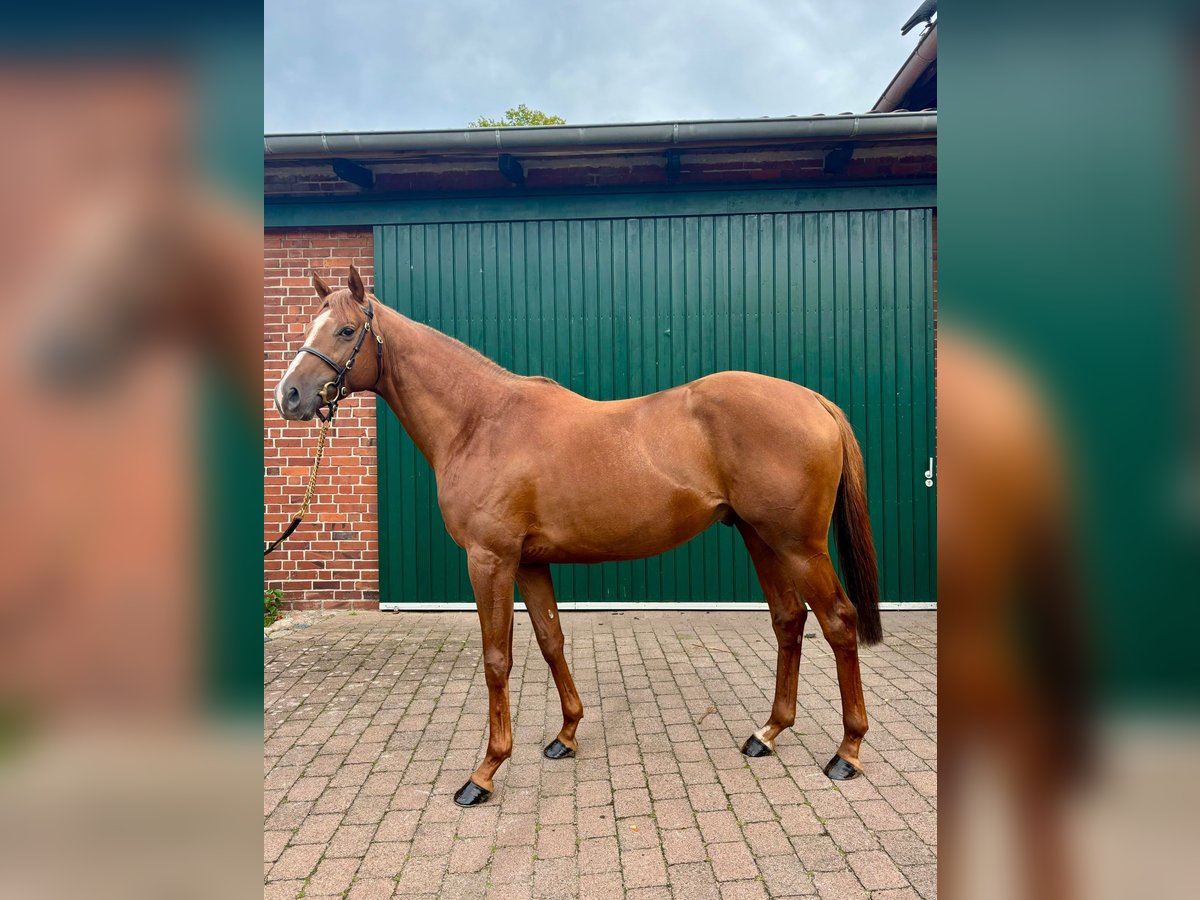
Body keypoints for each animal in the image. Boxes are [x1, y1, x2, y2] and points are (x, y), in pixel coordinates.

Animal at [276, 267, 888, 811]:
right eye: (311, 323)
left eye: (346, 330)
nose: (290, 396)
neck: (481, 421)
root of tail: (813, 401)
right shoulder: (528, 563)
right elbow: (552, 640)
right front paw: (565, 735)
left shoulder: (489, 560)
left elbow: (496, 658)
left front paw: (485, 771)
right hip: (761, 538)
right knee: (789, 621)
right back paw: (768, 733)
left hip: (799, 545)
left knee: (838, 622)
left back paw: (847, 752)